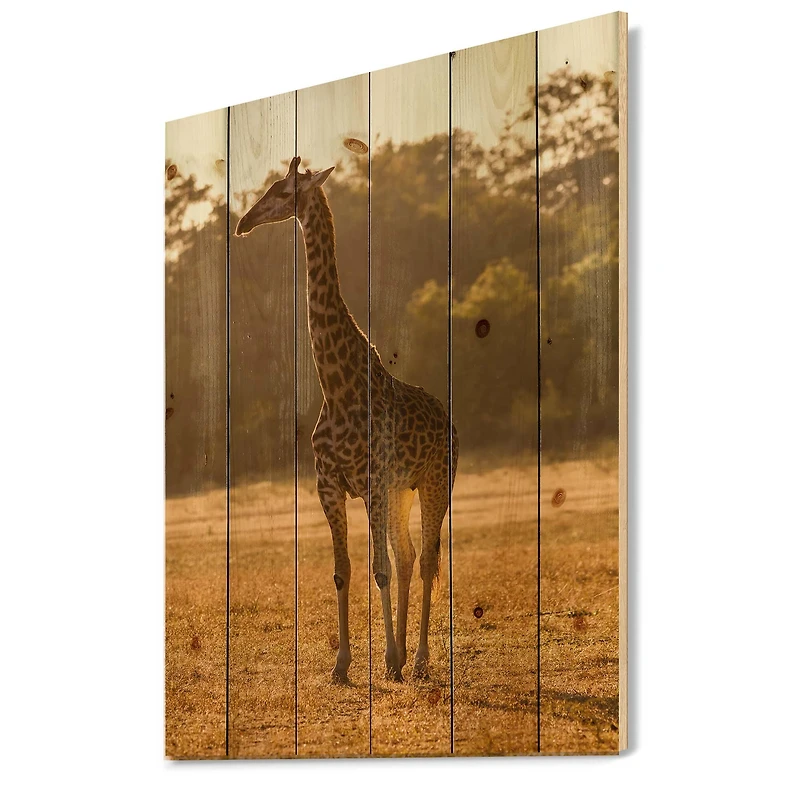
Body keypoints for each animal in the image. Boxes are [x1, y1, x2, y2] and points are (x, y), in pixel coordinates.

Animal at [235, 156, 458, 682]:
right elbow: (345, 571)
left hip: (435, 482)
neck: (335, 386)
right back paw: (402, 654)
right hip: (401, 491)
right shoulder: (330, 486)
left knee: (426, 561)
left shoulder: (371, 483)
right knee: (407, 555)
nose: (243, 223)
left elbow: (378, 569)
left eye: (282, 191)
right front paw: (344, 664)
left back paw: (418, 659)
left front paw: (390, 657)